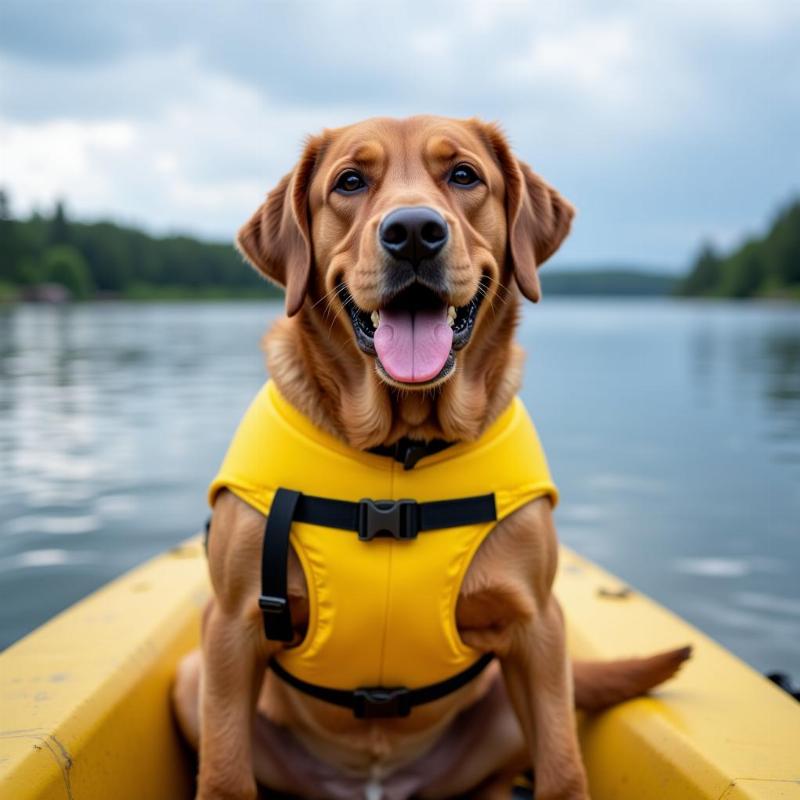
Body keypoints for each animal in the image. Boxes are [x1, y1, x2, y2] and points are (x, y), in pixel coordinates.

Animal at [172, 114, 692, 800]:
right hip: (191, 680)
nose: (414, 231)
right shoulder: (231, 628)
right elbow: (226, 774)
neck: (401, 447)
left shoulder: (538, 628)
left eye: (464, 175)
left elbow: (562, 767)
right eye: (350, 182)